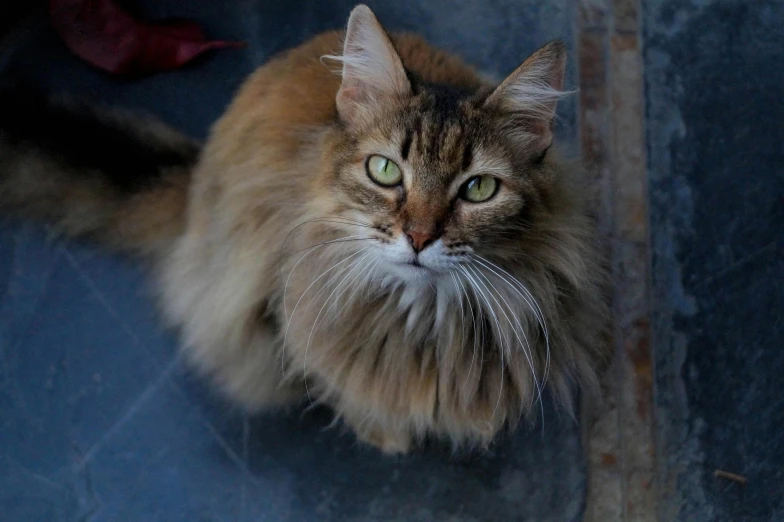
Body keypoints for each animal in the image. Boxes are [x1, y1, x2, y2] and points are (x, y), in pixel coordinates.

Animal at [0, 4, 608, 450]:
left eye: (478, 189)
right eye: (385, 171)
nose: (418, 238)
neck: (420, 324)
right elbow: (335, 383)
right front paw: (384, 435)